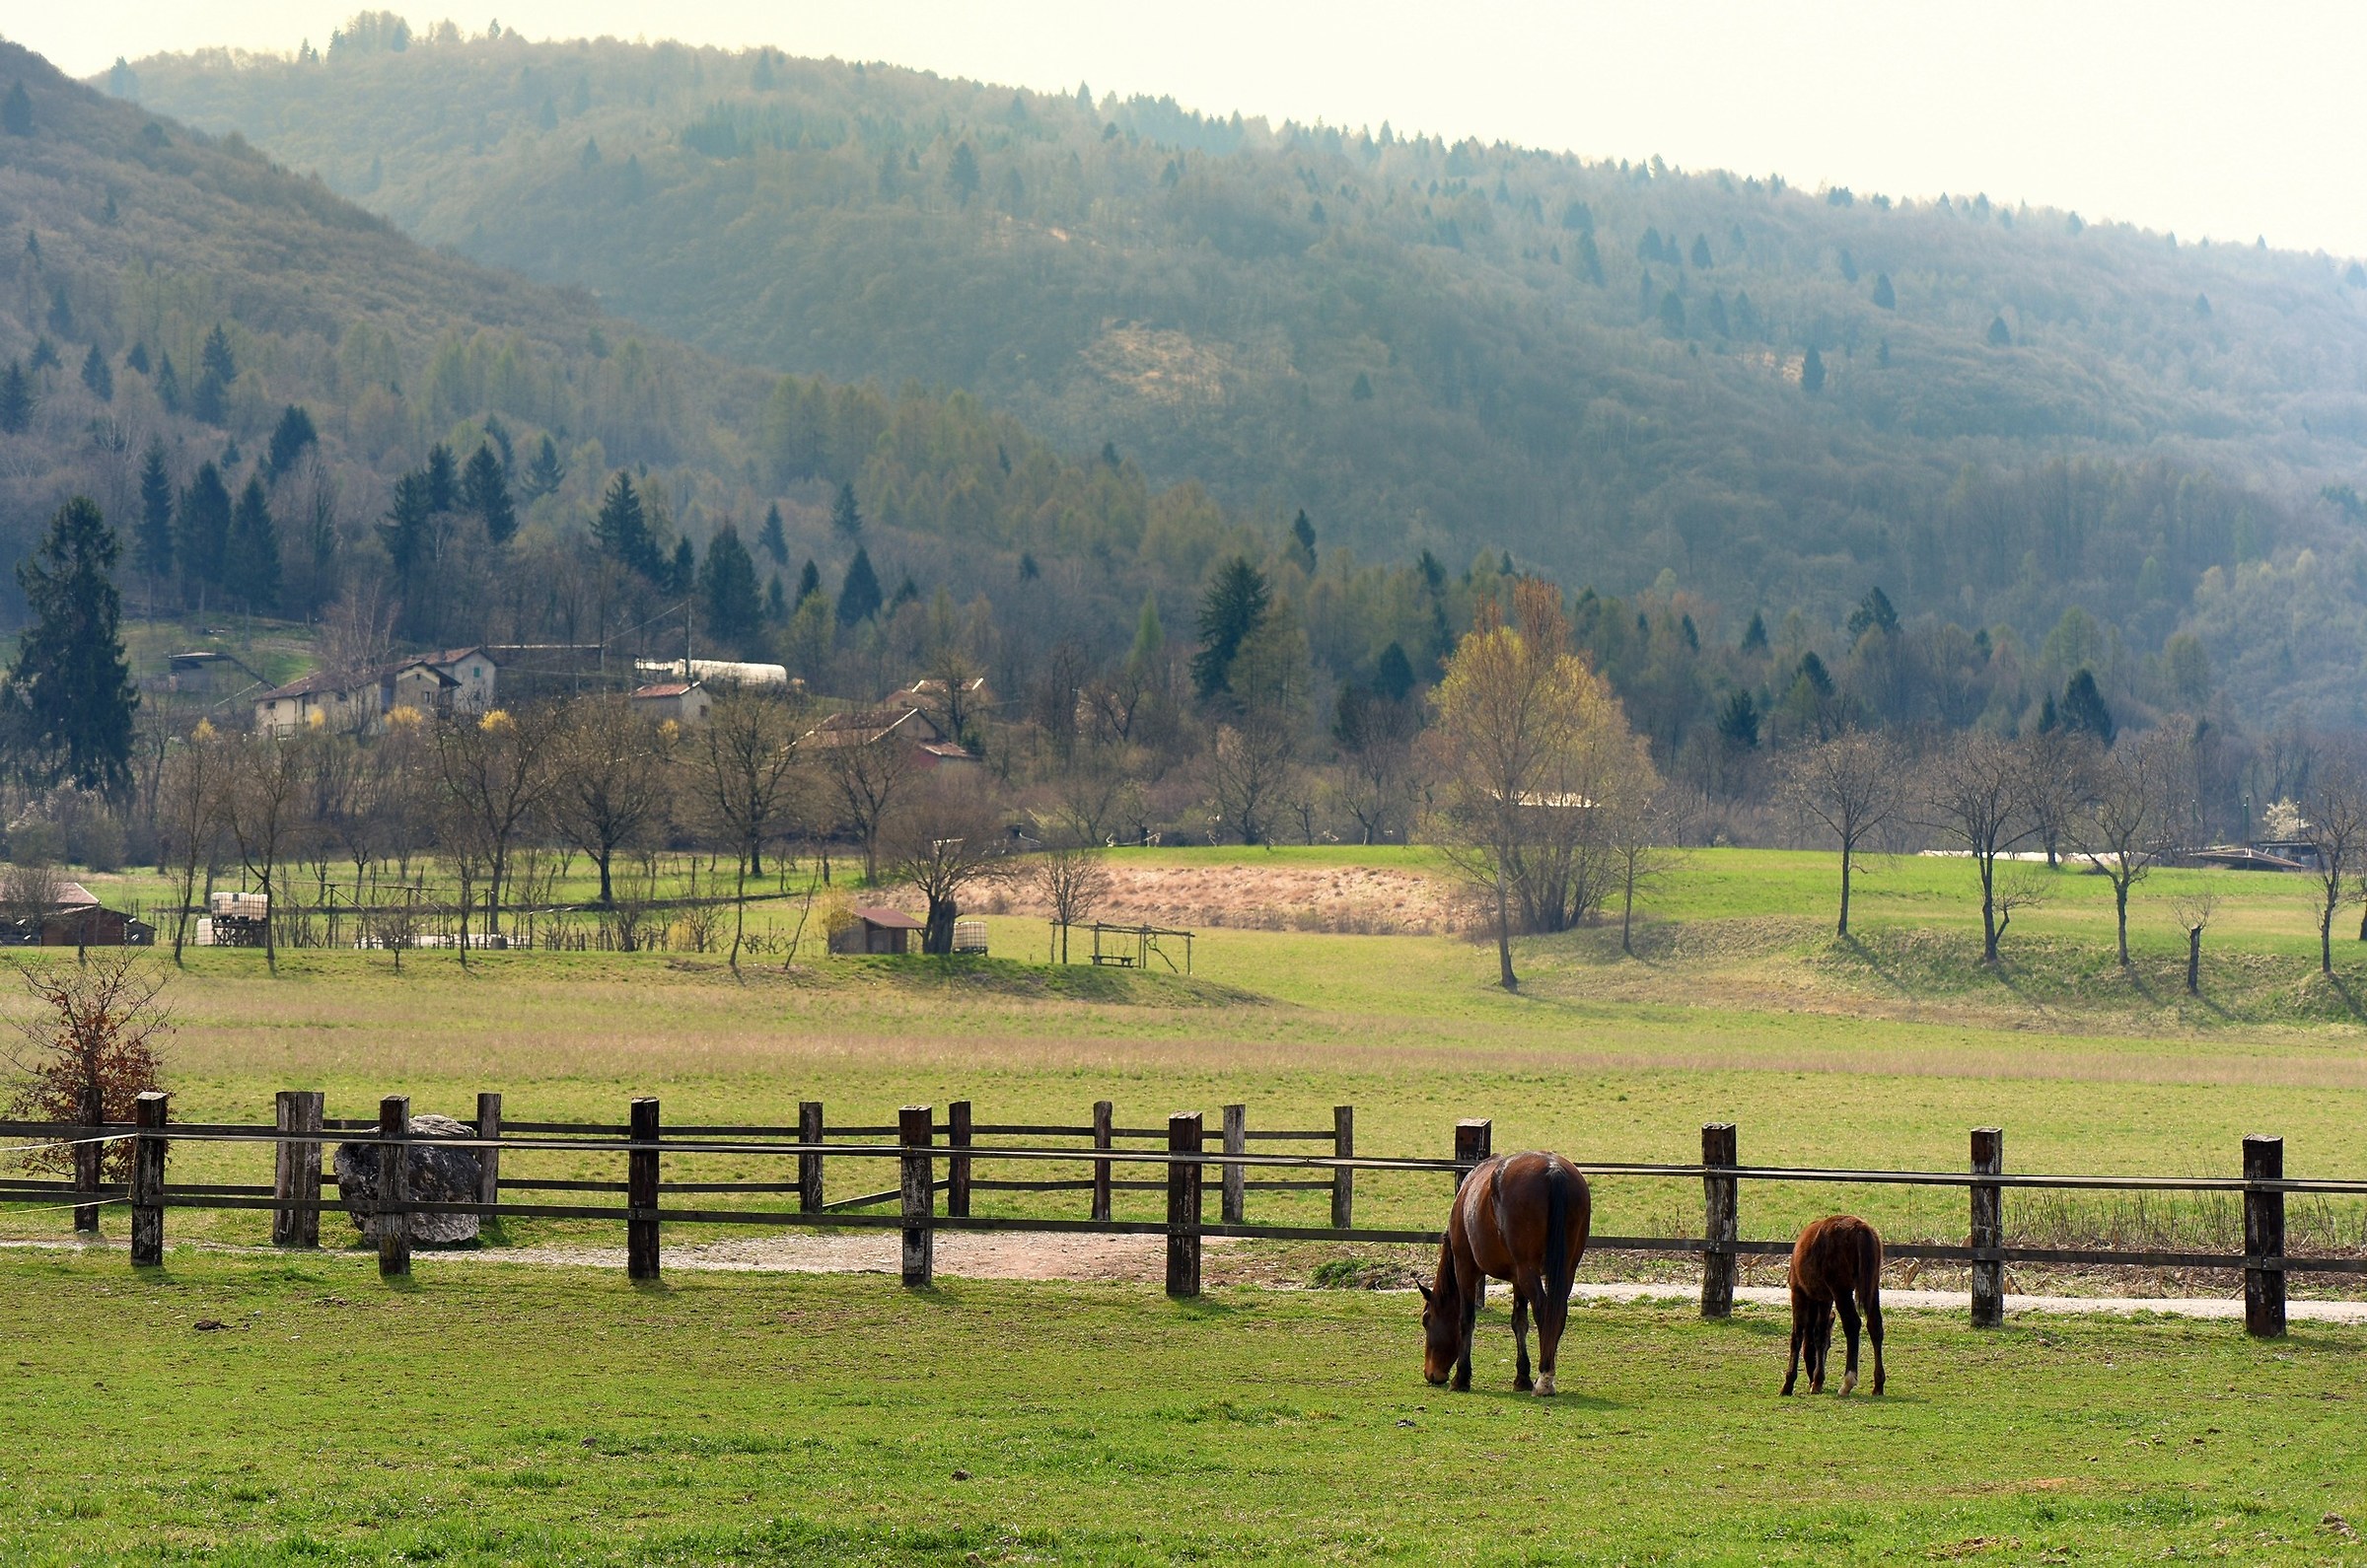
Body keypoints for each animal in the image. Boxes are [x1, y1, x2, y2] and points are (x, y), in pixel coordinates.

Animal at [1419, 1151, 1591, 1396]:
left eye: (1426, 1320)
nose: (1431, 1374)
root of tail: (1553, 1169)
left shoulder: (1465, 1267)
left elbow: (1466, 1319)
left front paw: (1461, 1378)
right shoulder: (1517, 1279)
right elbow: (1519, 1322)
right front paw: (1522, 1377)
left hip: (1528, 1271)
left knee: (1543, 1310)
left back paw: (1544, 1379)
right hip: (1564, 1270)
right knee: (1557, 1312)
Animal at [1781, 1215, 1886, 1397]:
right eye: (1829, 1347)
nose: (1811, 1379)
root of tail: (1860, 1228)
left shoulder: (1798, 1292)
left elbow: (1797, 1336)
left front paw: (1788, 1384)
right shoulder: (1824, 1299)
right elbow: (1820, 1335)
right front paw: (1817, 1382)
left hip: (1841, 1291)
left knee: (1852, 1324)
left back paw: (1847, 1383)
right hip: (1872, 1288)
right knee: (1875, 1327)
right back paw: (1878, 1385)